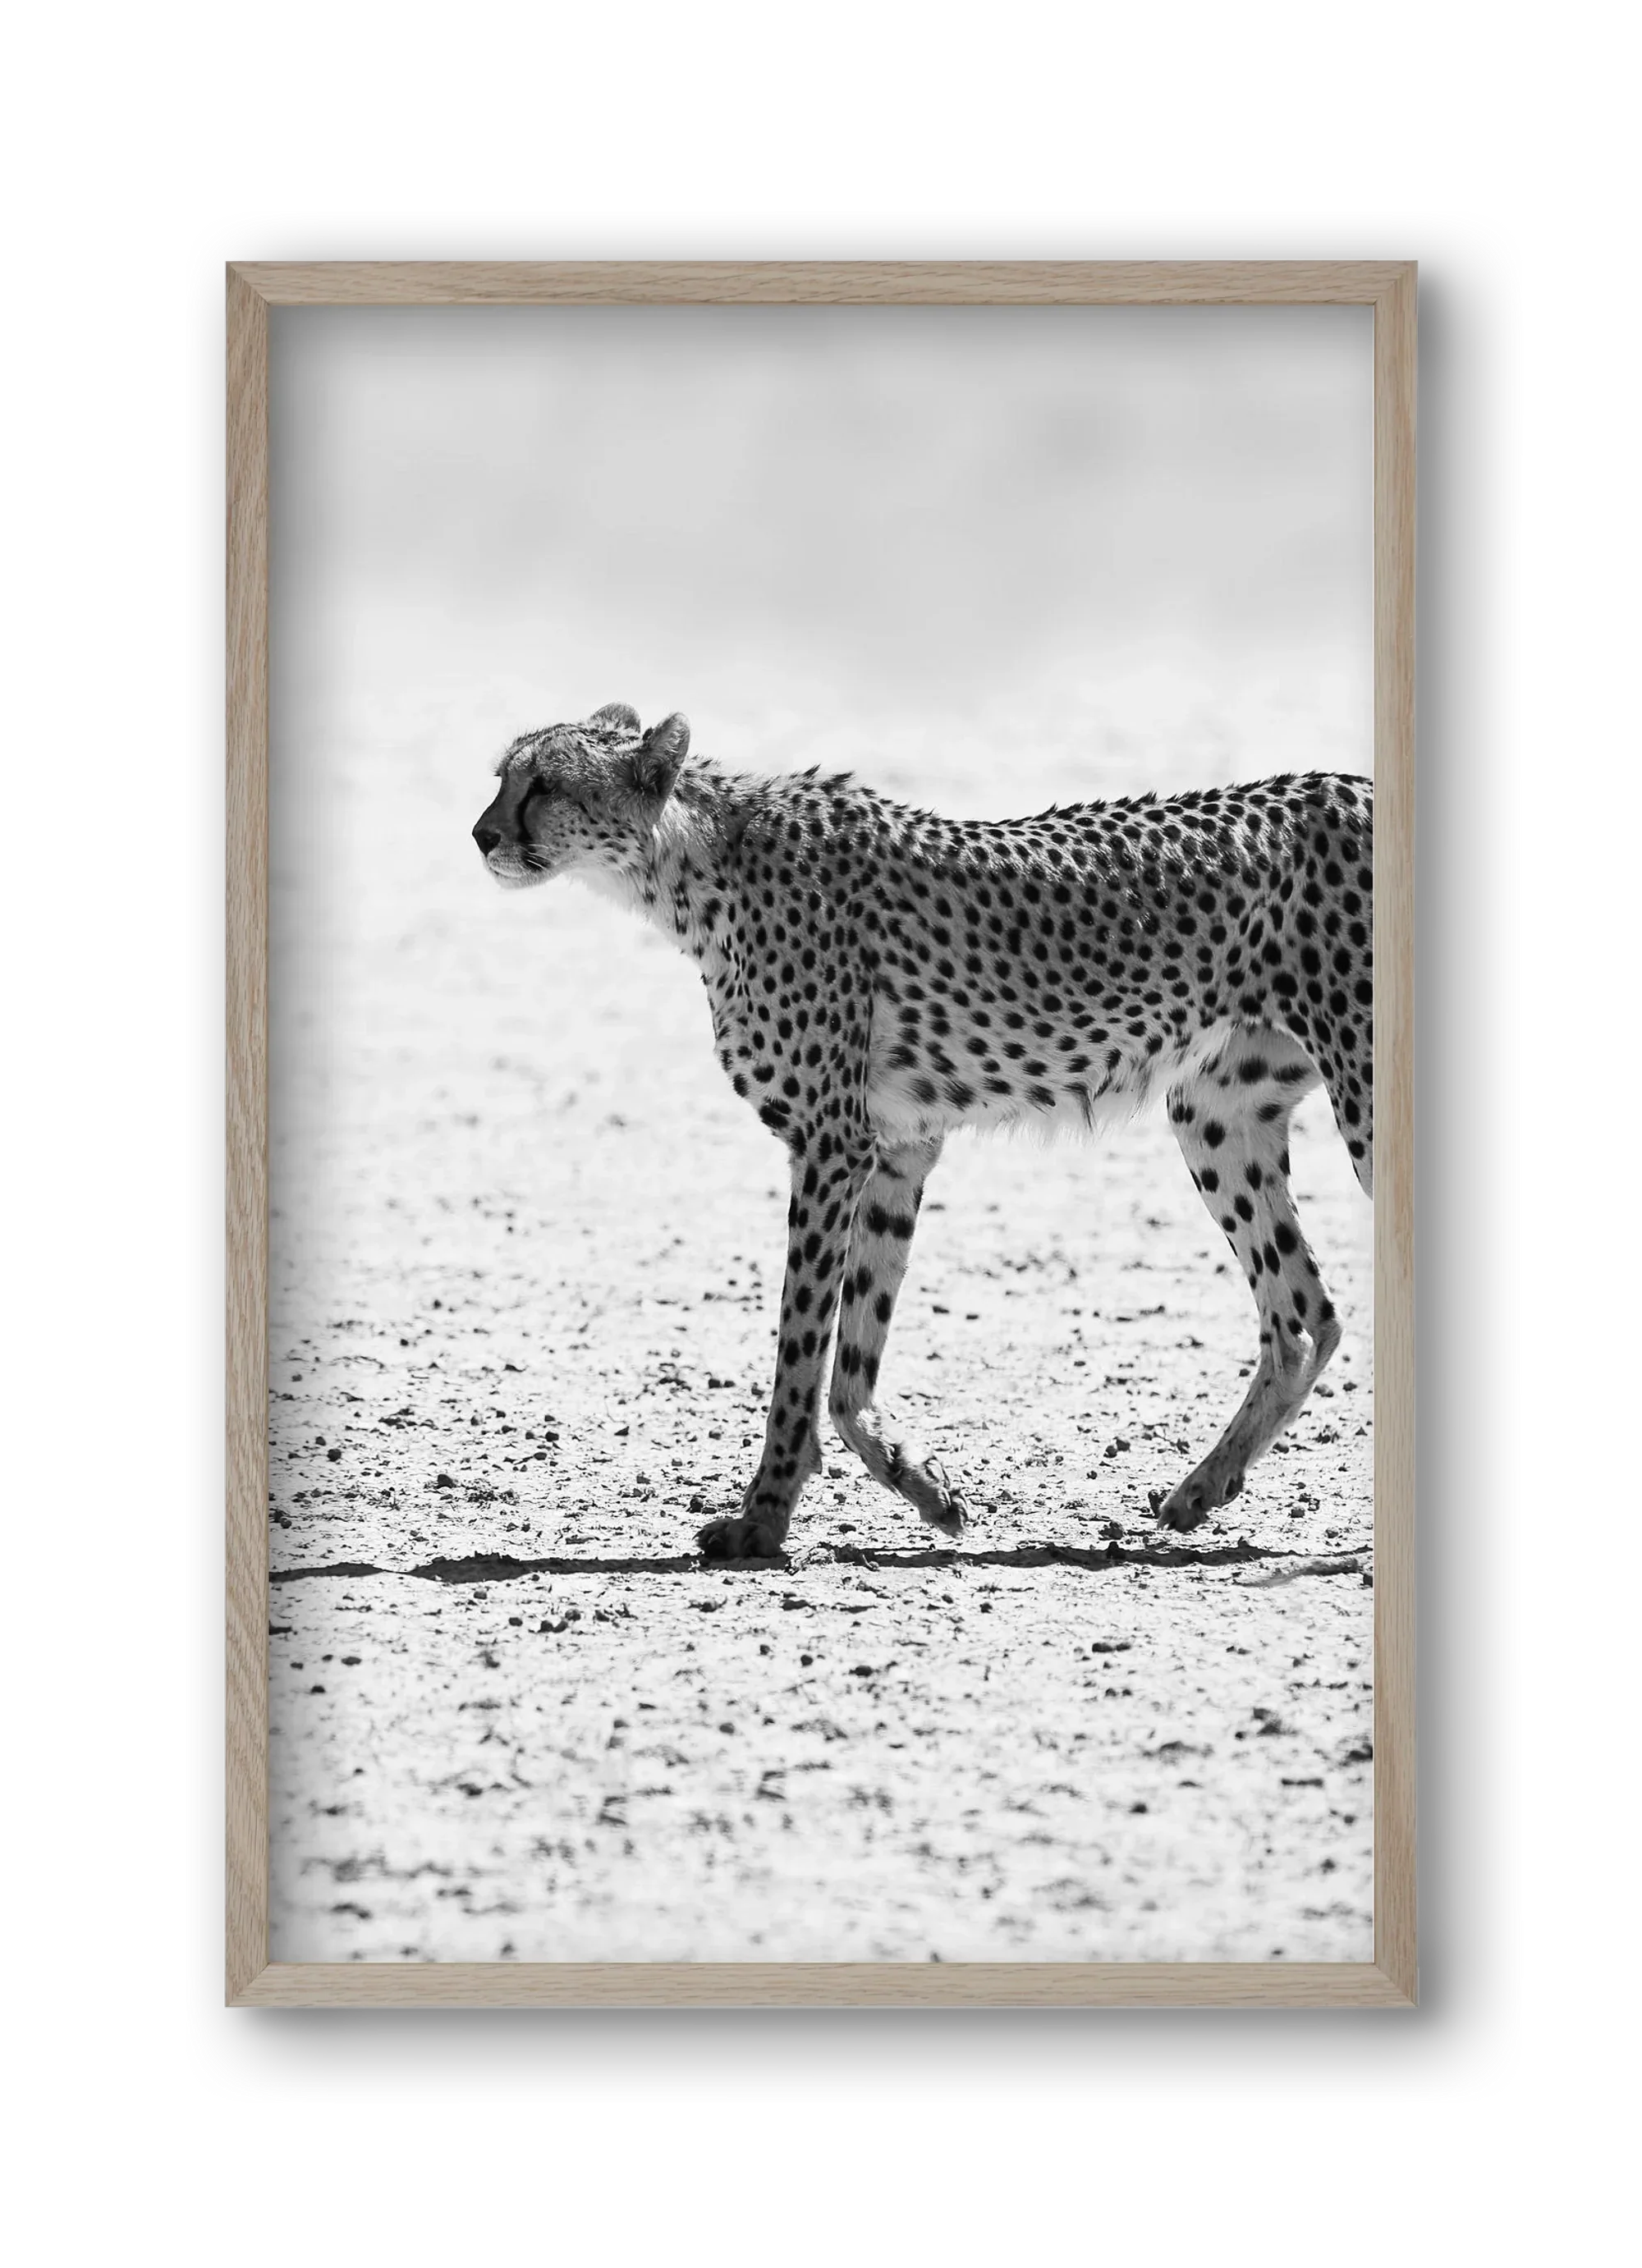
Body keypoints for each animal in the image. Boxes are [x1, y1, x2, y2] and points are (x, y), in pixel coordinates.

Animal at [472, 702, 1373, 1563]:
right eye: (502, 776)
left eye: (545, 784)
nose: (481, 834)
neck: (692, 863)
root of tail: (1351, 781)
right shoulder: (897, 1148)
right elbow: (850, 1364)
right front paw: (925, 1487)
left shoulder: (830, 1145)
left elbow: (800, 1349)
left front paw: (761, 1519)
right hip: (1215, 1112)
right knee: (1302, 1315)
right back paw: (1200, 1489)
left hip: (1358, 1095)